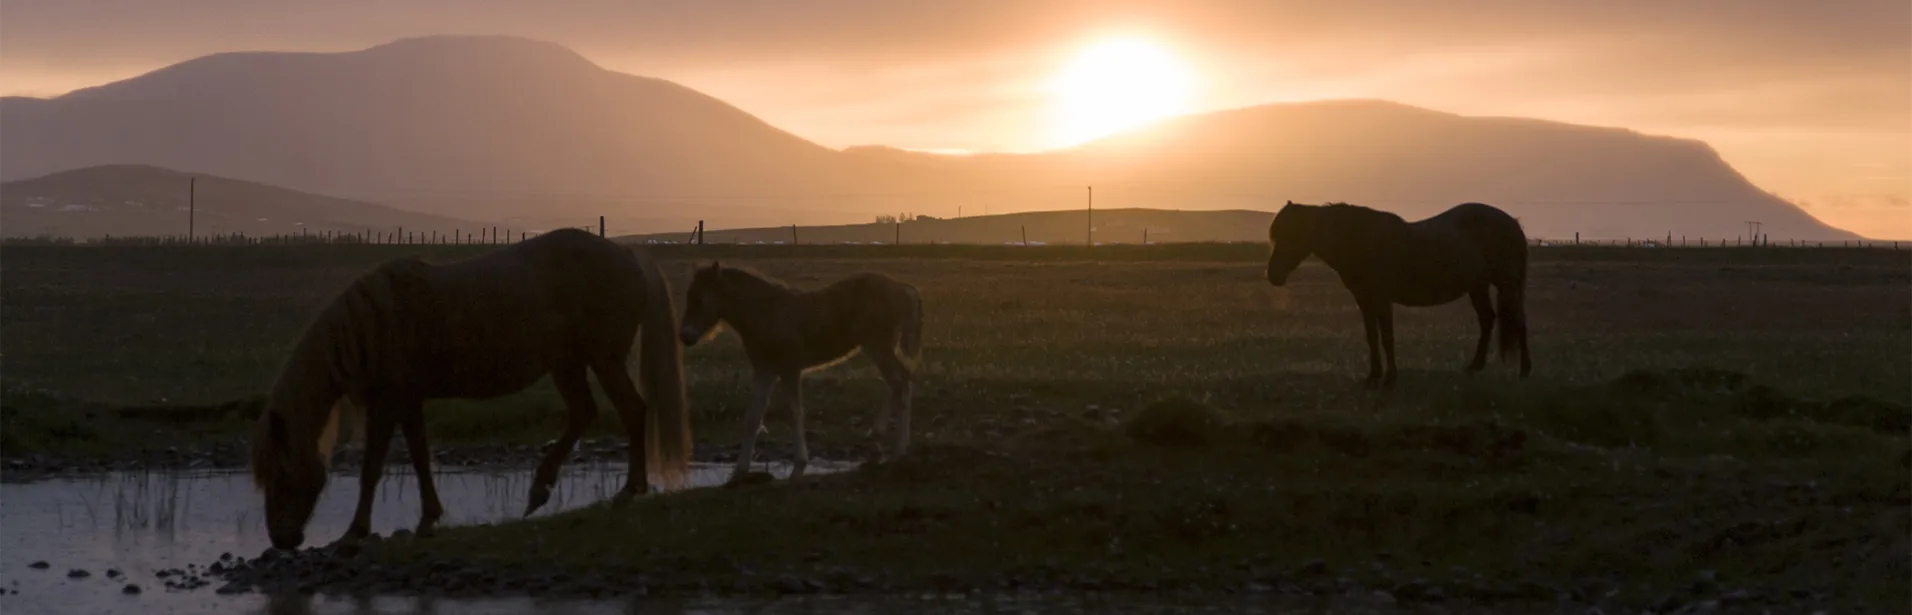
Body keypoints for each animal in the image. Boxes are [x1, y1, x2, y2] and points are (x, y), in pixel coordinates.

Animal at [250, 228, 688, 550]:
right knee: (586, 412)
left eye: (279, 472)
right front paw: (428, 517)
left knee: (631, 410)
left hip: (601, 360)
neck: (370, 328)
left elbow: (372, 467)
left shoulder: (387, 403)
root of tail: (626, 254)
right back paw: (541, 489)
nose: (282, 540)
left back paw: (627, 491)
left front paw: (354, 532)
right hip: (568, 364)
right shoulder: (407, 401)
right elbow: (418, 456)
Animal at [680, 261, 925, 483]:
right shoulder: (765, 370)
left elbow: (795, 413)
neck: (767, 313)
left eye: (699, 299)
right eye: (689, 295)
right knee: (898, 383)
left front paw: (800, 463)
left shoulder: (789, 369)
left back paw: (898, 448)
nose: (685, 336)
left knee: (901, 382)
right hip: (879, 348)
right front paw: (739, 470)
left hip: (878, 346)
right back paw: (878, 438)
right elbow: (753, 418)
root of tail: (904, 288)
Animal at [1261, 200, 1529, 389]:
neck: (1361, 241)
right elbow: (1372, 337)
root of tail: (1512, 223)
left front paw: (1390, 379)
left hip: (1507, 285)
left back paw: (1525, 371)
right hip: (1478, 286)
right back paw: (1474, 367)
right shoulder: (1365, 300)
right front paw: (1373, 378)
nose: (1273, 275)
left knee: (1518, 322)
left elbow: (1387, 337)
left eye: (1292, 235)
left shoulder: (1382, 299)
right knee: (1487, 319)